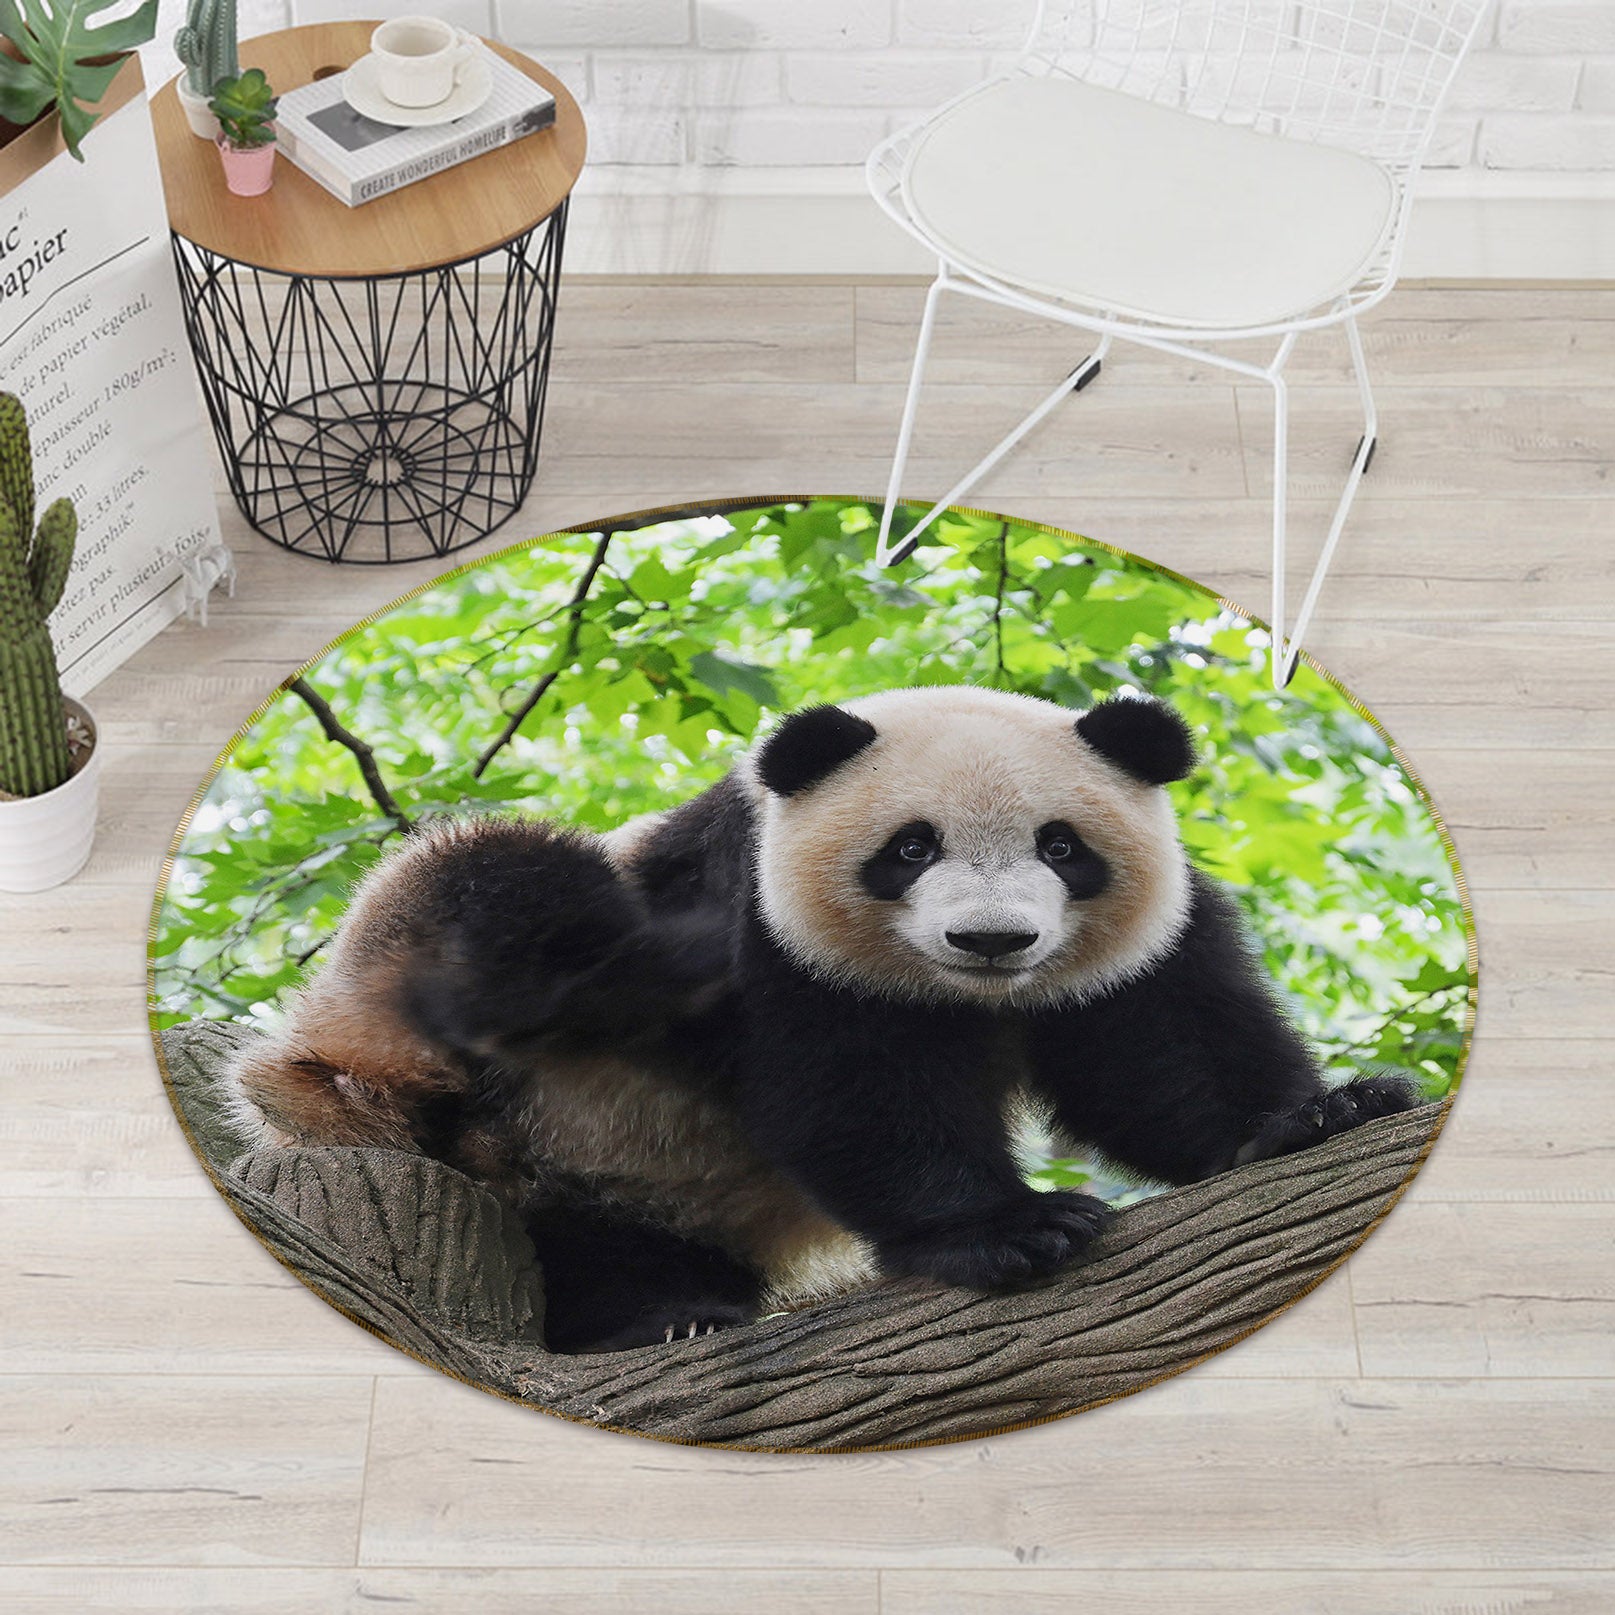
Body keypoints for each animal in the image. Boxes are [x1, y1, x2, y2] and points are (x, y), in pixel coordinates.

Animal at [223, 685, 1417, 1353]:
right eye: (910, 847)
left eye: (1061, 845)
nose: (992, 940)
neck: (968, 998)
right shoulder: (768, 927)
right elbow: (855, 1089)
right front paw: (1011, 1228)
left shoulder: (1128, 948)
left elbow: (1161, 1053)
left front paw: (1320, 1114)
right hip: (438, 1040)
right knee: (501, 882)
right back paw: (647, 1315)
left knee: (609, 1235)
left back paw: (669, 1302)